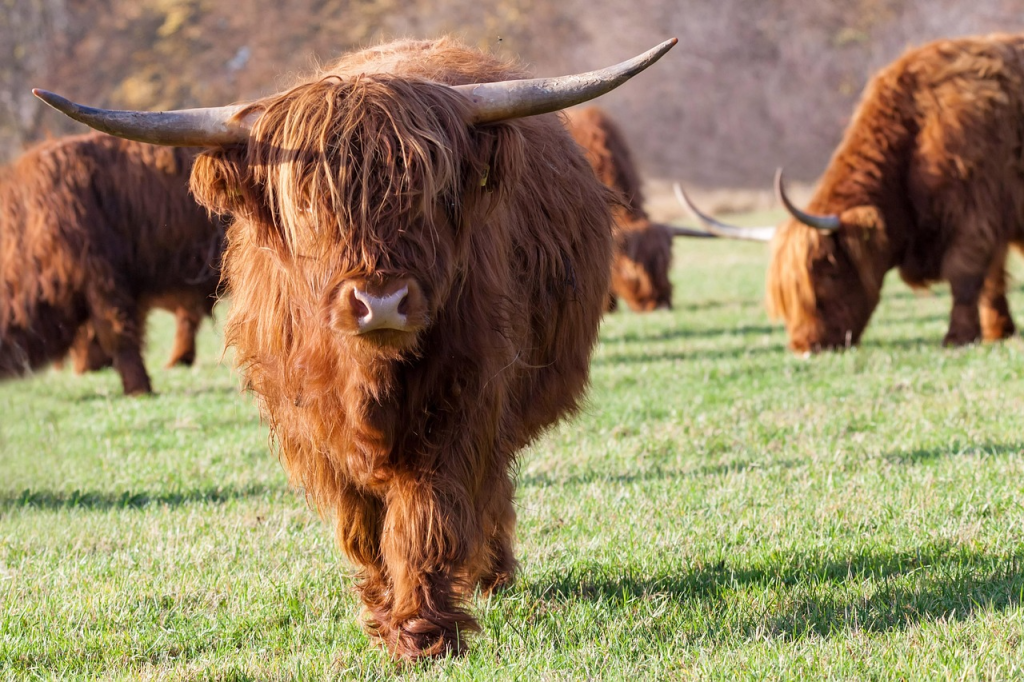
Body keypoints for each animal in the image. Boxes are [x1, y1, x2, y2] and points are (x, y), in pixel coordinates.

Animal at [36, 36, 676, 659]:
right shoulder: (313, 428)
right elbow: (362, 527)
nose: (382, 301)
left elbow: (427, 516)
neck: (367, 378)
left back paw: (490, 575)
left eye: (429, 193)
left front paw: (422, 631)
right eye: (309, 203)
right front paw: (381, 611)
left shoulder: (462, 402)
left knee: (490, 489)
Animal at [676, 34, 1024, 352]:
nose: (804, 346)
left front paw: (958, 337)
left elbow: (966, 277)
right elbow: (992, 281)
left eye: (827, 274)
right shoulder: (991, 221)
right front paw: (998, 331)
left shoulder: (975, 217)